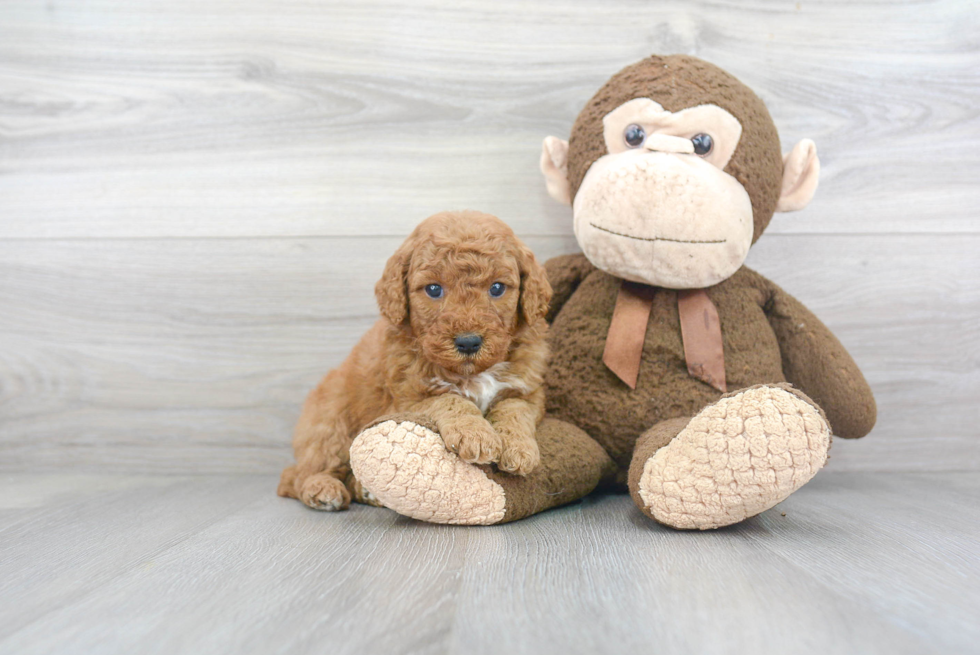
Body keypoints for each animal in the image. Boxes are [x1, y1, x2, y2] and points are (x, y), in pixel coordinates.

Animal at [276, 210, 552, 512]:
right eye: (433, 289)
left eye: (498, 288)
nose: (468, 342)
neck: (471, 373)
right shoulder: (409, 399)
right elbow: (451, 400)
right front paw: (475, 434)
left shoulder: (528, 391)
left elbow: (514, 410)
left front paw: (519, 448)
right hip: (329, 424)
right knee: (302, 472)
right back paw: (323, 489)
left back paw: (366, 492)